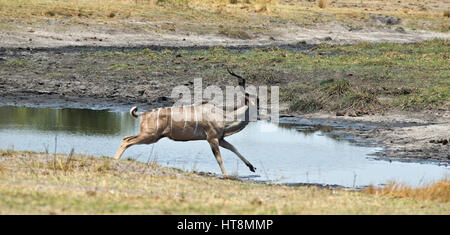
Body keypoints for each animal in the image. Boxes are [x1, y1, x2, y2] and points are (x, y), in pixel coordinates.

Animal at [113, 69, 256, 176]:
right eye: (256, 106)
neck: (224, 117)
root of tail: (144, 114)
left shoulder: (220, 139)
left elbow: (234, 148)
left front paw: (252, 167)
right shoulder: (212, 139)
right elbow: (219, 158)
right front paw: (226, 176)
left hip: (151, 136)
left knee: (126, 138)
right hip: (150, 136)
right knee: (127, 141)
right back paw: (115, 160)